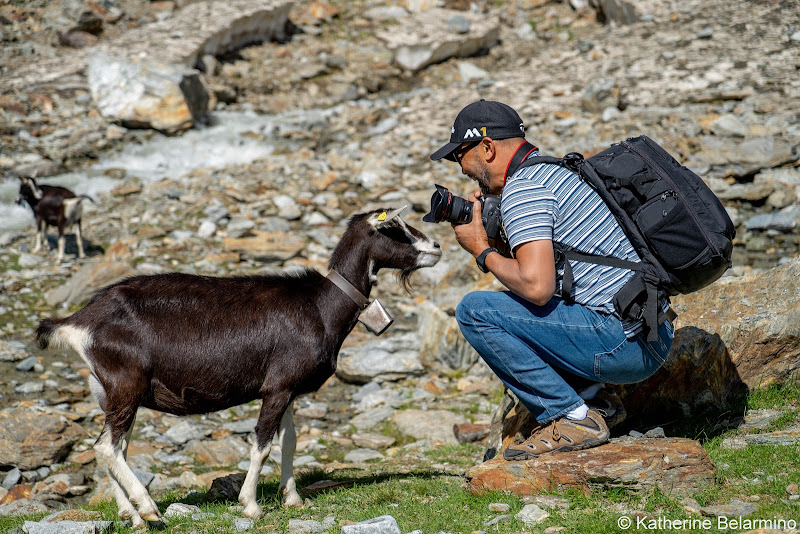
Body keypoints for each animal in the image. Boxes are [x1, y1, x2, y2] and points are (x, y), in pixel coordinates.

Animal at [34, 208, 440, 528]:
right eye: (392, 228)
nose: (436, 247)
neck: (321, 306)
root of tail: (80, 320)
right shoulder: (276, 386)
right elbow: (262, 443)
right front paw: (251, 505)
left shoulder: (290, 389)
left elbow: (290, 441)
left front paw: (293, 499)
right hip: (125, 383)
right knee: (107, 447)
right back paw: (149, 510)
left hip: (109, 391)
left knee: (115, 448)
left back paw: (131, 516)